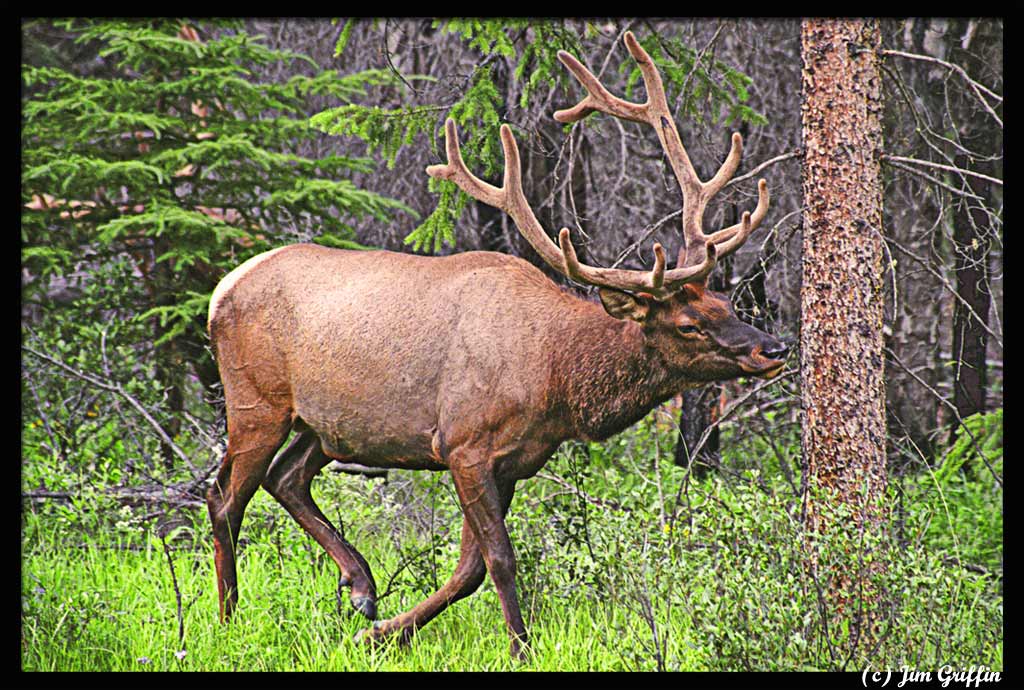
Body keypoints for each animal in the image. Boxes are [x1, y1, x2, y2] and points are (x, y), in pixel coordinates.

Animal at [205, 32, 782, 655]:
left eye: (726, 306)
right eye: (687, 324)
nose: (773, 349)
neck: (557, 379)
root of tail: (220, 291)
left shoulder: (511, 462)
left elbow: (469, 568)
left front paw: (382, 632)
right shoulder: (464, 443)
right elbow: (500, 561)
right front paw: (519, 646)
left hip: (328, 424)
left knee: (285, 478)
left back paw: (360, 587)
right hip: (257, 402)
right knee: (225, 499)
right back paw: (227, 619)